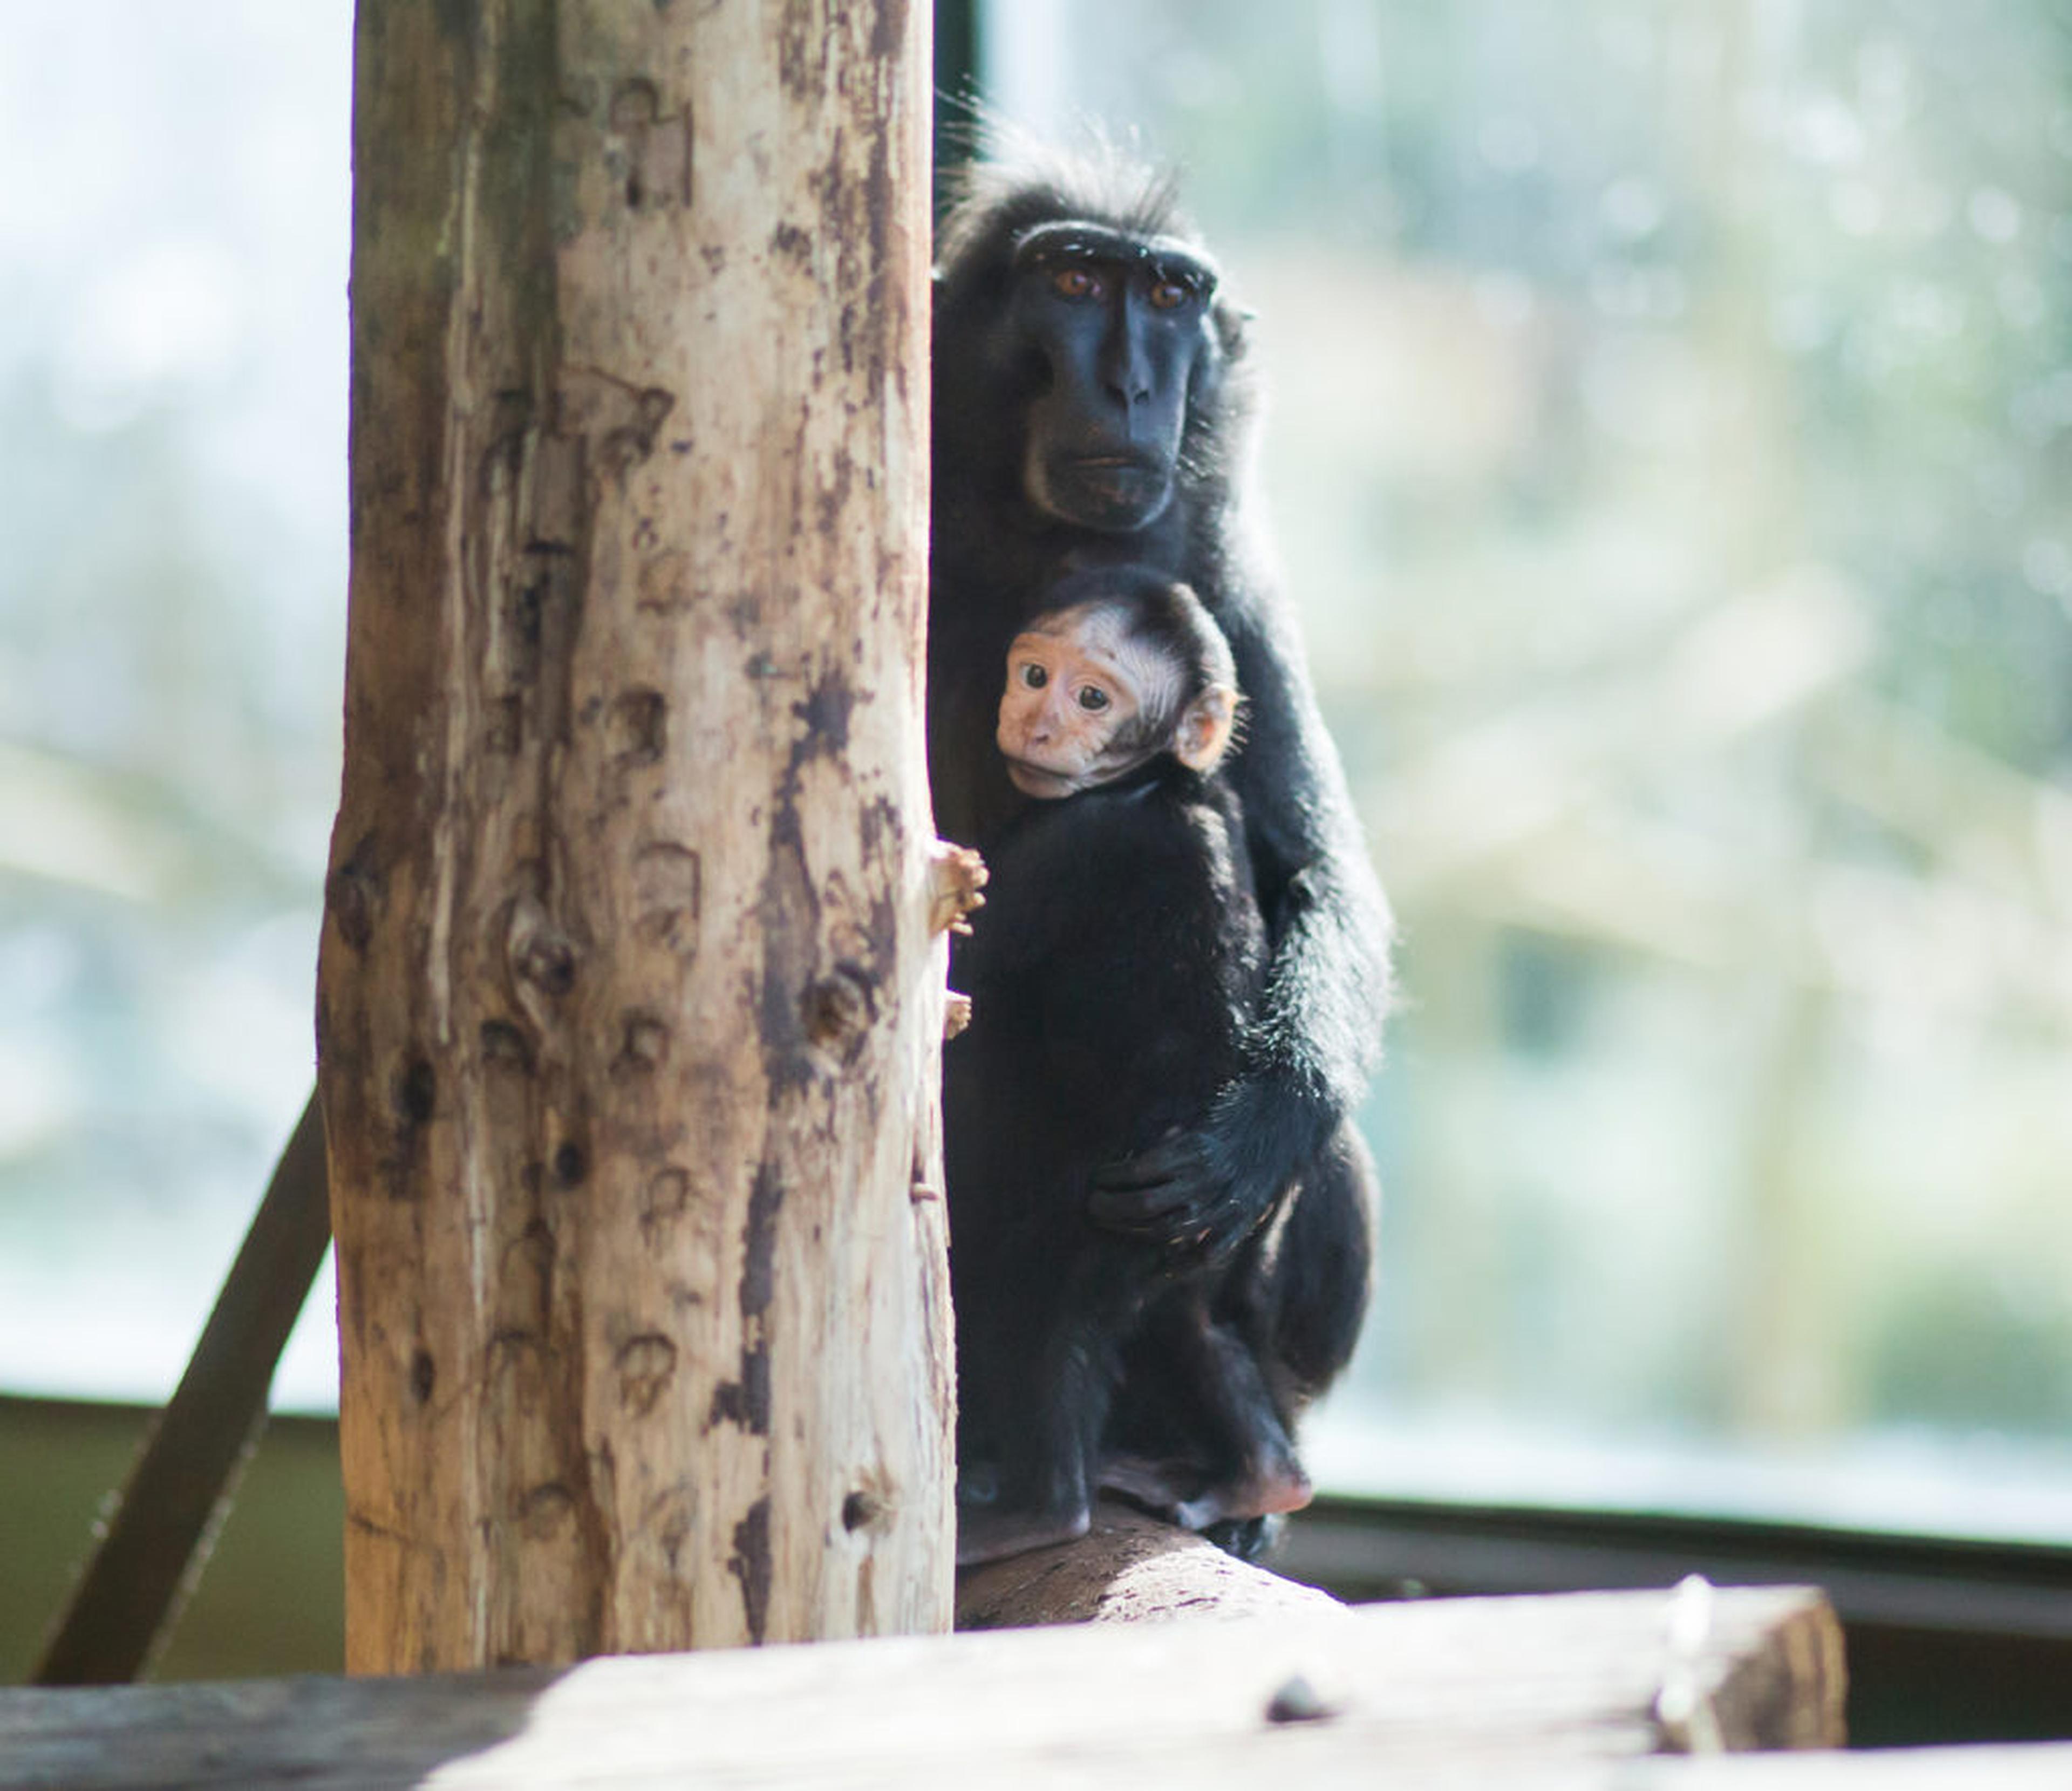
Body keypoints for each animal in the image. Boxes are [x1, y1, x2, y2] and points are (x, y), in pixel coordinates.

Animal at [947, 564, 1322, 1564]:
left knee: (1033, 1307)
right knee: (1195, 1322)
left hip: (1099, 1226)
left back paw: (1038, 1508)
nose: (1036, 723)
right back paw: (1263, 1473)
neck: (1157, 782)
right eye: (1035, 674)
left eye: (1093, 697)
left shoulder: (1065, 846)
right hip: (1207, 1235)